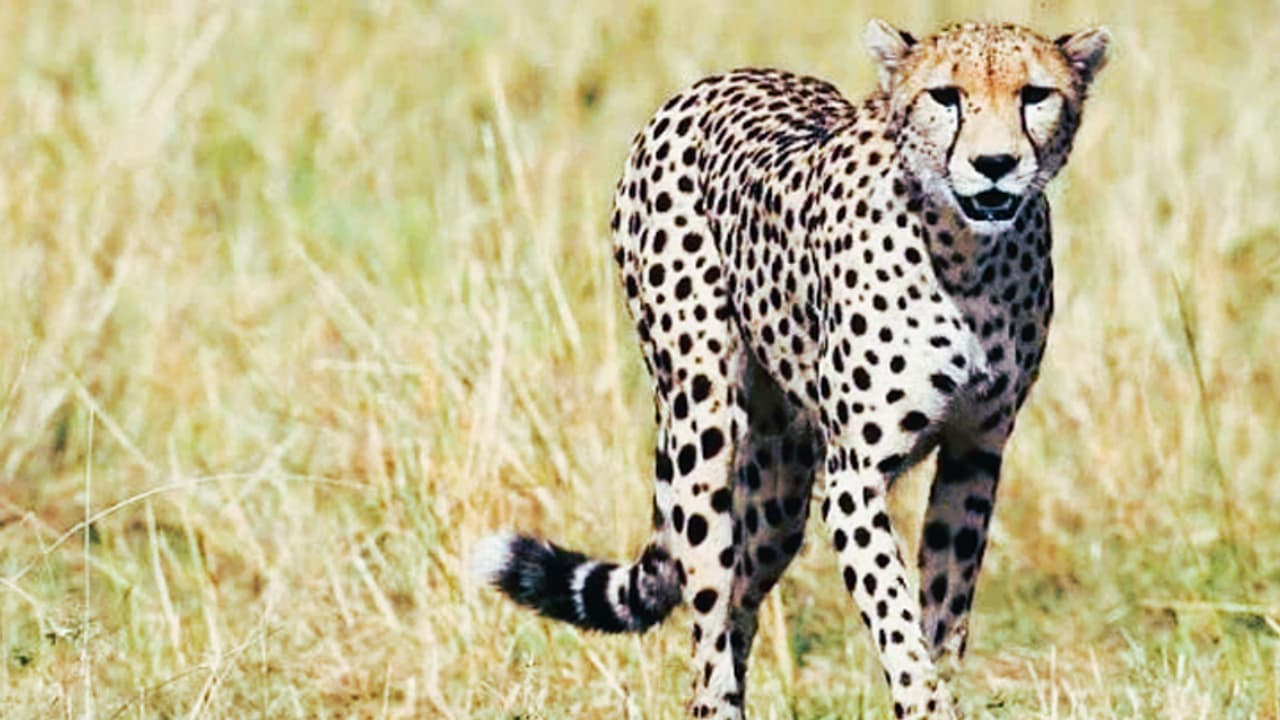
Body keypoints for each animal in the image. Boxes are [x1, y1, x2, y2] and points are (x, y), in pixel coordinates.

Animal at [474, 19, 1110, 719]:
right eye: (945, 96)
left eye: (1034, 95)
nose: (994, 165)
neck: (967, 255)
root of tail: (715, 81)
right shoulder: (854, 477)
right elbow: (897, 624)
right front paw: (923, 698)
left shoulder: (975, 454)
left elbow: (943, 616)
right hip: (702, 425)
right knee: (708, 621)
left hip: (779, 487)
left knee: (741, 600)